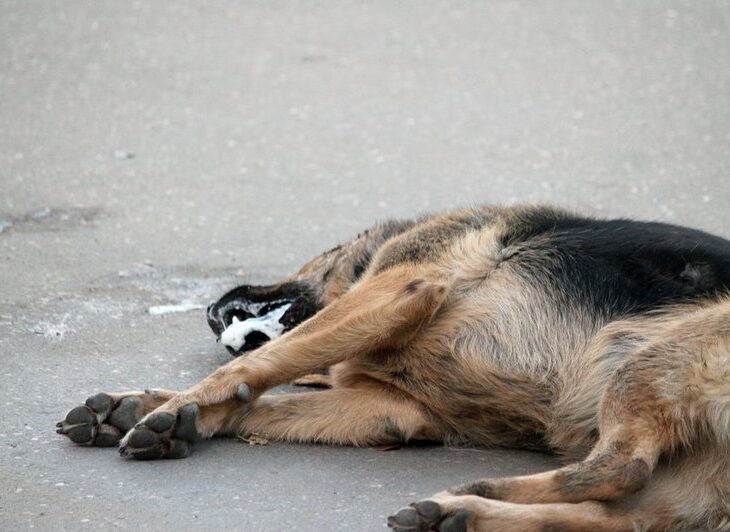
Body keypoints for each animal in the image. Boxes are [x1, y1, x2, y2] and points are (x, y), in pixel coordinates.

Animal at [57, 206, 728, 528]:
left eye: (312, 258)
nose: (209, 312)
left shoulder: (400, 285)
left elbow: (264, 365)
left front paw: (171, 409)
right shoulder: (392, 408)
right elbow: (264, 395)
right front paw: (150, 410)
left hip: (645, 355)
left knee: (619, 469)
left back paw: (473, 491)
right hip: (680, 470)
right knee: (627, 513)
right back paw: (462, 515)